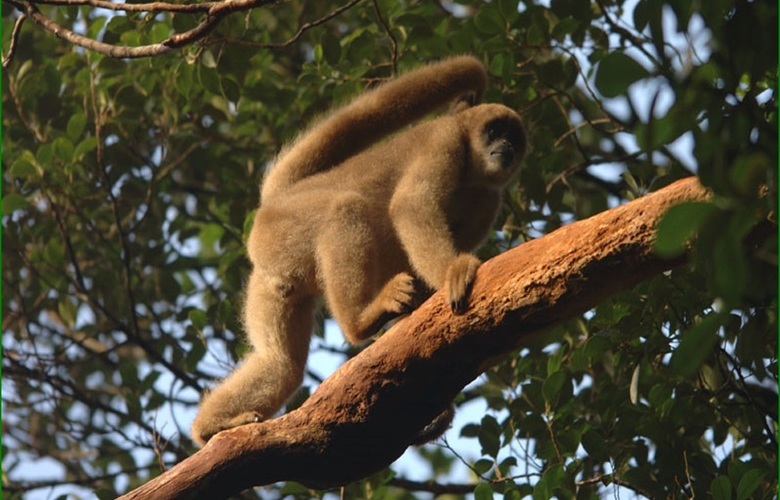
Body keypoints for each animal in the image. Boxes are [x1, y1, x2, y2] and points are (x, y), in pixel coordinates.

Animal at [191, 56, 528, 448]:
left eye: (513, 138)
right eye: (494, 131)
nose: (505, 147)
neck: (473, 174)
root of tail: (279, 198)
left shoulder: (491, 198)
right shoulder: (445, 142)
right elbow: (411, 206)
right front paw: (453, 272)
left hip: (271, 276)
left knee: (281, 366)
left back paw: (211, 427)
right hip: (281, 231)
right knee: (346, 210)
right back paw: (360, 320)